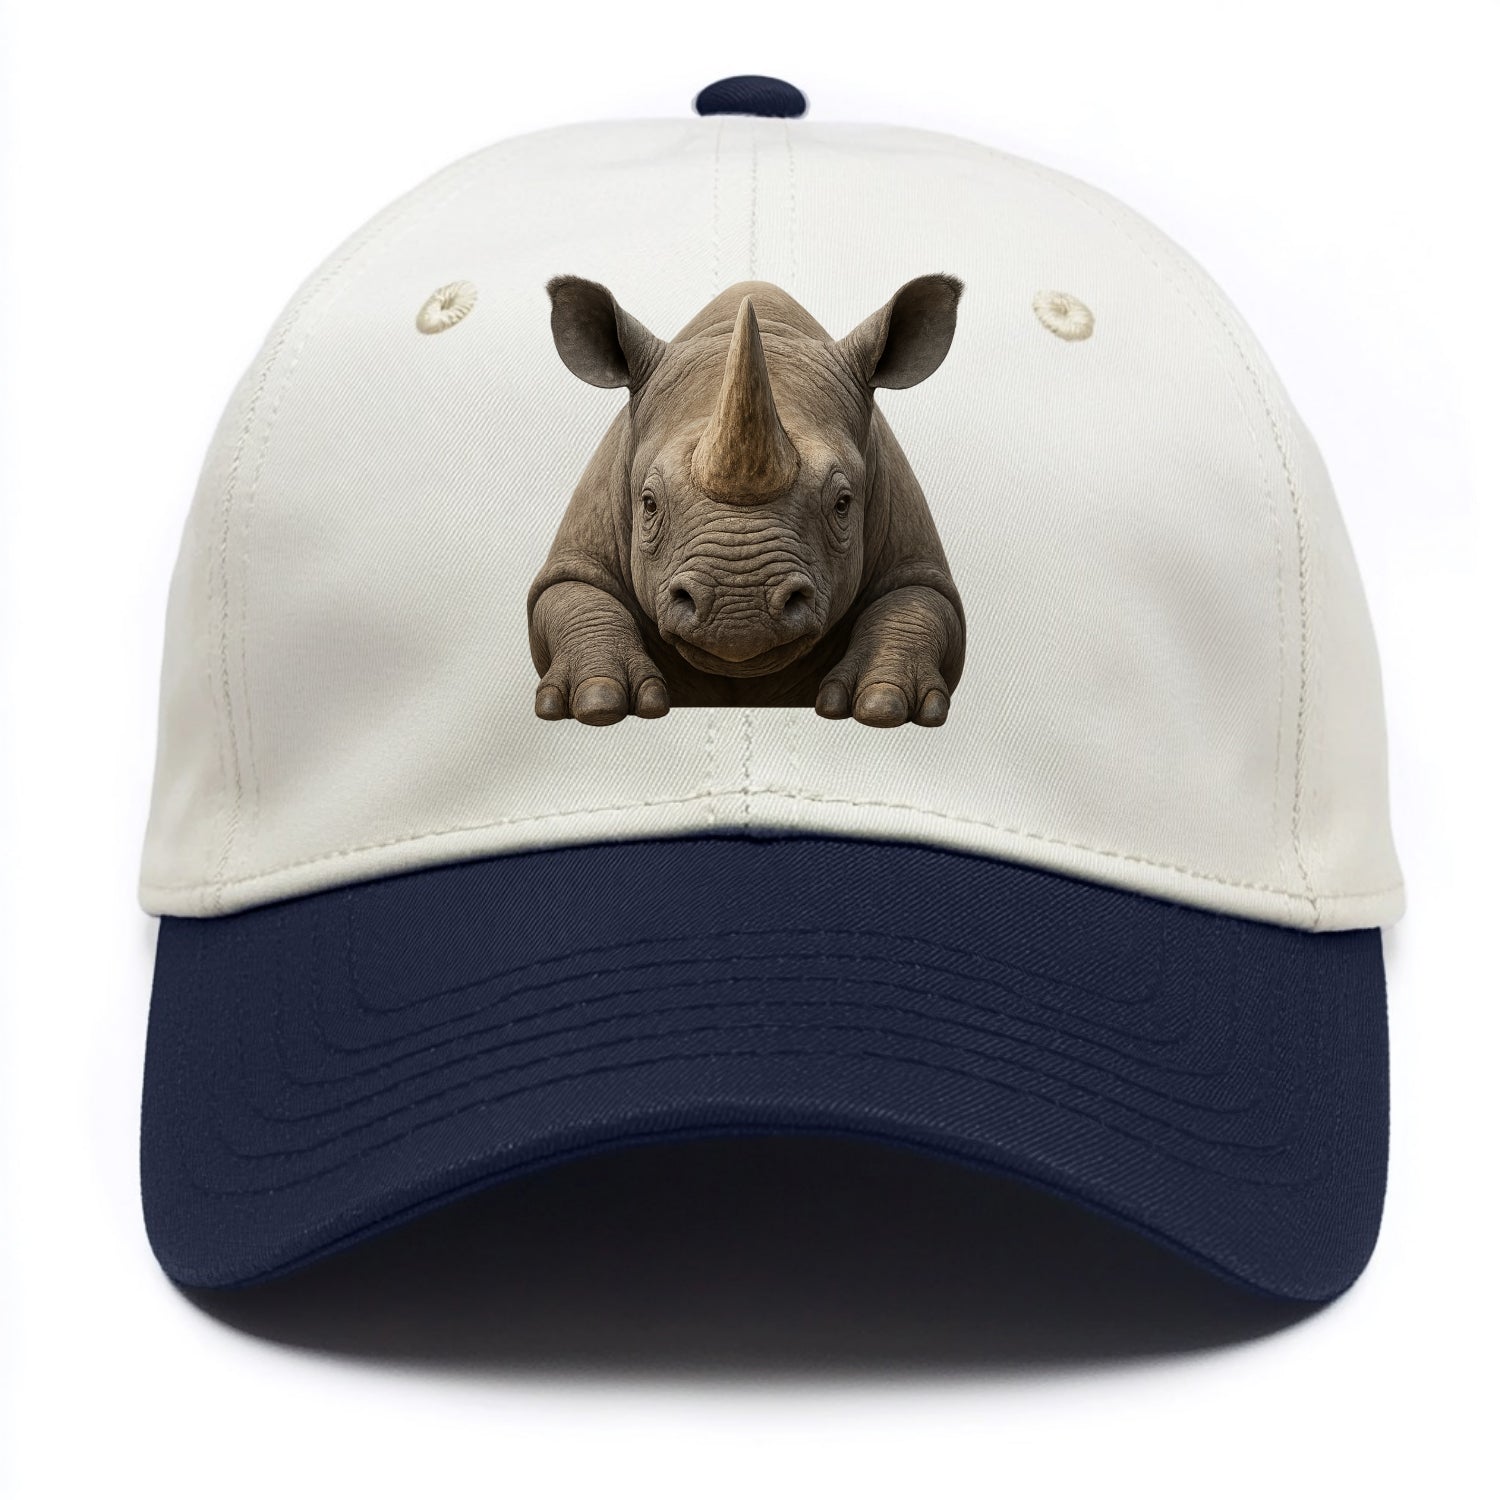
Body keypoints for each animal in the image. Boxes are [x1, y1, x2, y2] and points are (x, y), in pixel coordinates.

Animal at [528, 273, 967, 728]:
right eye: (649, 504)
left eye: (843, 503)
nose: (739, 611)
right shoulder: (580, 549)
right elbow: (572, 593)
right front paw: (597, 702)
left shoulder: (913, 553)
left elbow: (918, 602)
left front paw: (884, 706)